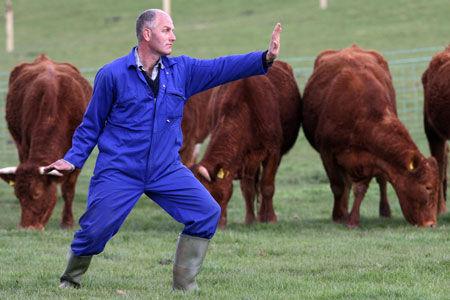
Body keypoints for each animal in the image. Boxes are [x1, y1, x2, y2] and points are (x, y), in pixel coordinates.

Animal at [0, 54, 92, 230]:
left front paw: (67, 223)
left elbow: (68, 190)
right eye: (18, 195)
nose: (26, 228)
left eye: (37, 194)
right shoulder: (24, 146)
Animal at [191, 61, 300, 227]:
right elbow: (245, 189)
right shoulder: (242, 159)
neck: (245, 106)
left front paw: (270, 218)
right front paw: (248, 219)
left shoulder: (273, 152)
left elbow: (267, 186)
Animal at [302, 44, 440, 227]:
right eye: (427, 187)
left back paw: (384, 210)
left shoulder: (370, 158)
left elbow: (361, 188)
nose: (431, 223)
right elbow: (338, 186)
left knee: (381, 181)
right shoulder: (327, 153)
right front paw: (339, 215)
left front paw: (353, 220)